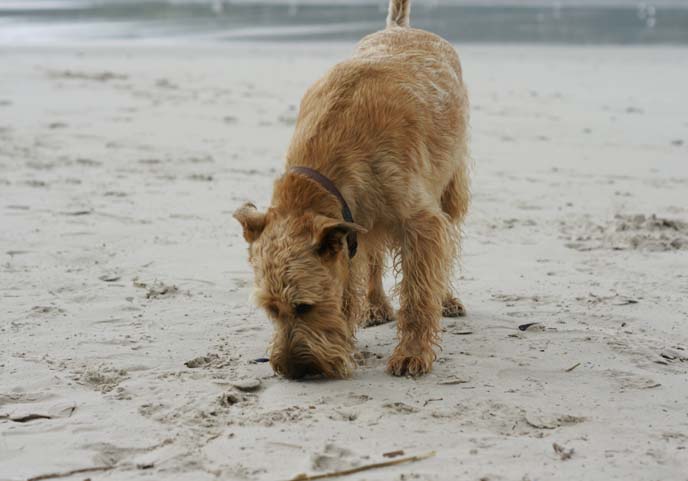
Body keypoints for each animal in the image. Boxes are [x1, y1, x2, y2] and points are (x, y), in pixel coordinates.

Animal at [234, 0, 470, 376]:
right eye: (270, 309)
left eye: (304, 306)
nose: (294, 371)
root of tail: (399, 28)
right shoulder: (351, 227)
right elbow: (351, 282)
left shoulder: (420, 223)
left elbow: (420, 290)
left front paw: (412, 353)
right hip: (368, 221)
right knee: (374, 261)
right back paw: (375, 307)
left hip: (450, 188)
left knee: (445, 251)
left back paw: (445, 300)